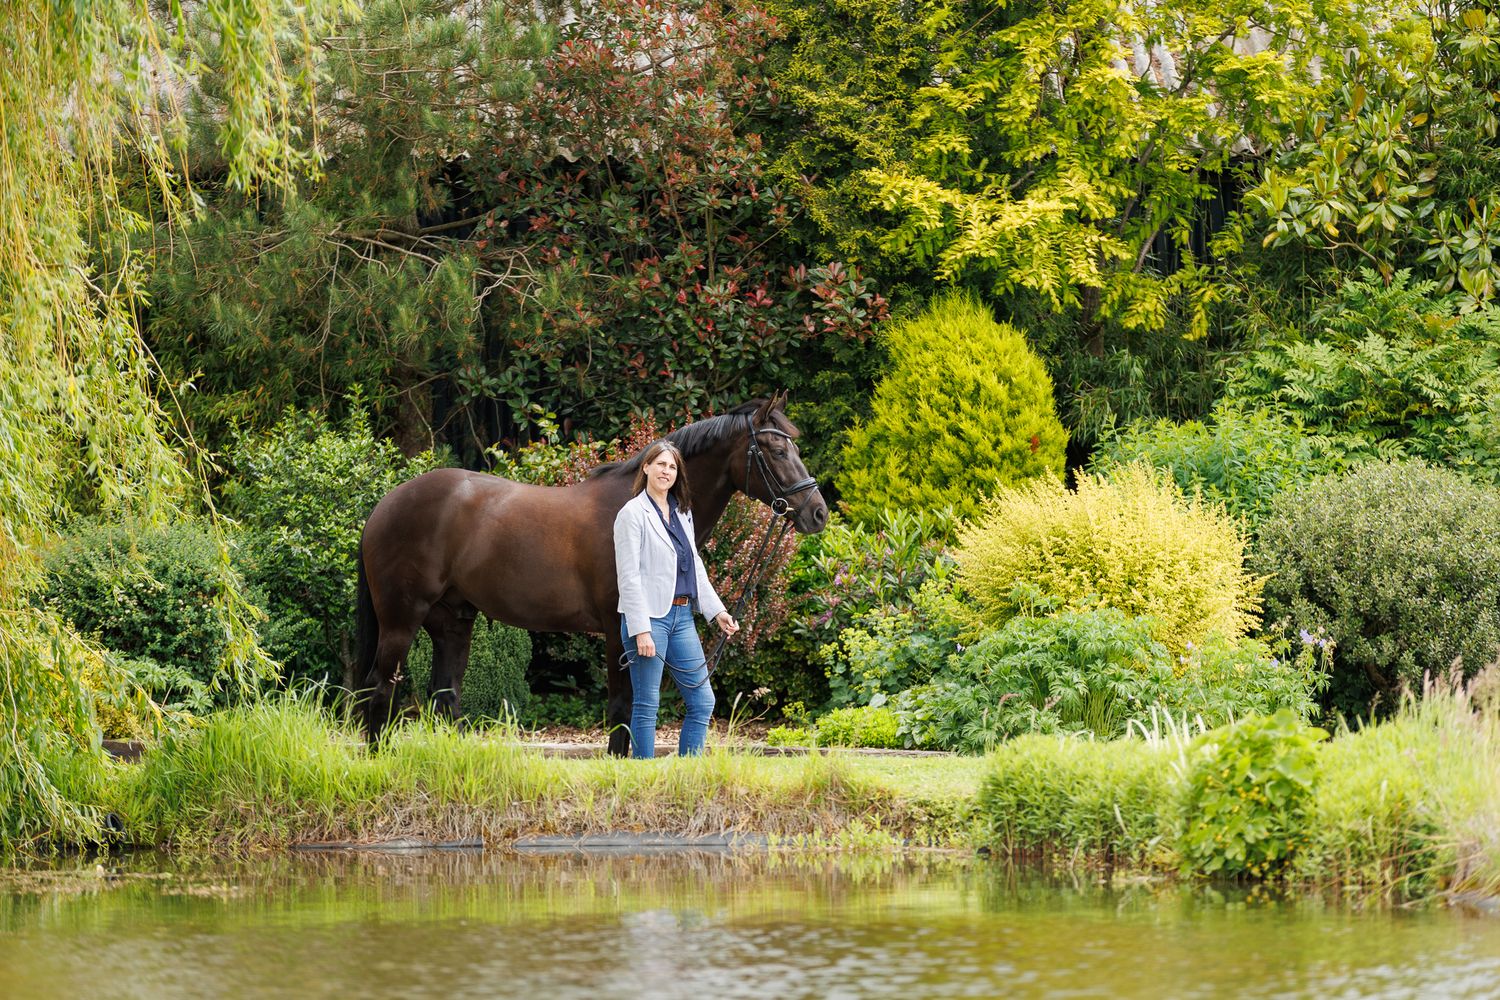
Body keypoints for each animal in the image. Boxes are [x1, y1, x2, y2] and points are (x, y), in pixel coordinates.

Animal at [353, 395, 829, 753]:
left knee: (444, 696)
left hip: (452, 621)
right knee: (380, 690)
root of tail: (384, 505)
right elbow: (622, 707)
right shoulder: (622, 628)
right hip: (401, 619)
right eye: (778, 451)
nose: (818, 512)